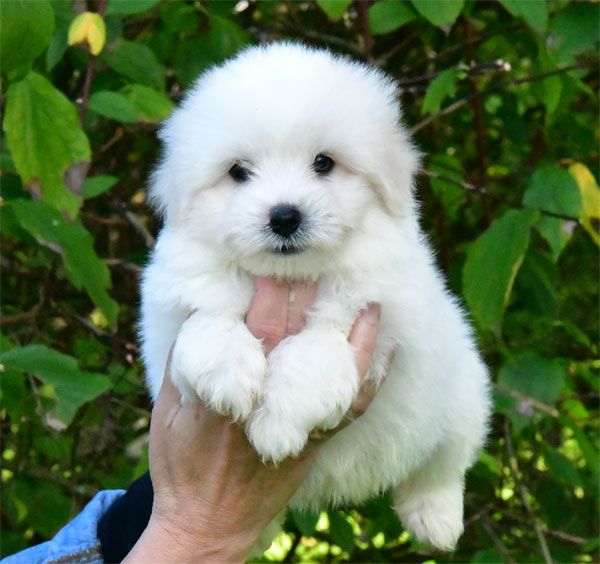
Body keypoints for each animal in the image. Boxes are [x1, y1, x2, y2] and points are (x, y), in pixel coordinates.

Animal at [142, 43, 492, 552]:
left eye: (324, 163)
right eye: (238, 172)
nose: (284, 216)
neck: (291, 276)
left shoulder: (379, 314)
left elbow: (314, 349)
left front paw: (277, 425)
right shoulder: (174, 306)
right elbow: (208, 320)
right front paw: (231, 374)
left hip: (462, 394)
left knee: (443, 464)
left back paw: (436, 519)